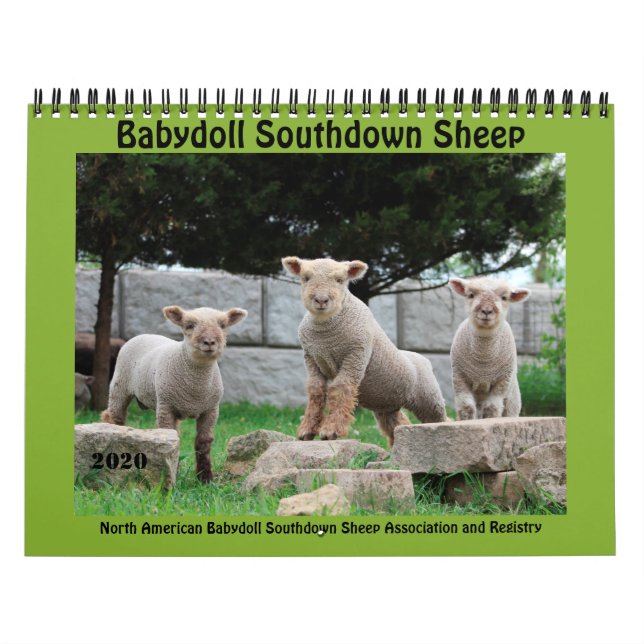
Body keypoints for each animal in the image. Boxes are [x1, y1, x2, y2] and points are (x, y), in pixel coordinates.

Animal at [101, 305, 247, 483]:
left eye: (223, 325)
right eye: (189, 325)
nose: (209, 342)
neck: (195, 389)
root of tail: (144, 334)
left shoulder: (211, 410)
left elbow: (203, 442)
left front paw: (205, 479)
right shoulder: (166, 407)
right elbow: (171, 439)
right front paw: (172, 475)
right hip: (120, 385)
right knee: (114, 417)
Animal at [282, 256, 448, 446]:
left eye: (340, 280)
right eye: (305, 278)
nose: (321, 300)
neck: (326, 334)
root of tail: (423, 359)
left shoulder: (355, 355)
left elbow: (341, 388)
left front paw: (330, 431)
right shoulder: (311, 358)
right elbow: (315, 391)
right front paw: (306, 431)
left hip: (429, 398)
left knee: (441, 419)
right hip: (386, 403)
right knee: (397, 423)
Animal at [448, 276, 530, 420]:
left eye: (504, 298)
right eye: (470, 295)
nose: (487, 311)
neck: (483, 361)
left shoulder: (503, 380)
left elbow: (491, 408)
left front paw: (490, 419)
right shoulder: (459, 377)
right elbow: (466, 408)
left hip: (512, 402)